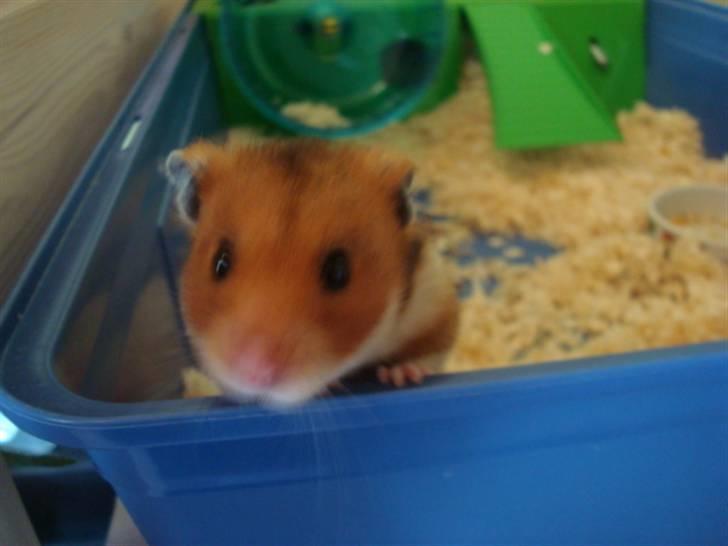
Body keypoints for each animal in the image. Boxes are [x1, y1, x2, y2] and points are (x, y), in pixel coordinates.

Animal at [164, 138, 458, 407]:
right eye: (220, 263)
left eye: (339, 271)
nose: (255, 373)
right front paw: (328, 386)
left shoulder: (436, 303)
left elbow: (432, 350)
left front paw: (400, 375)